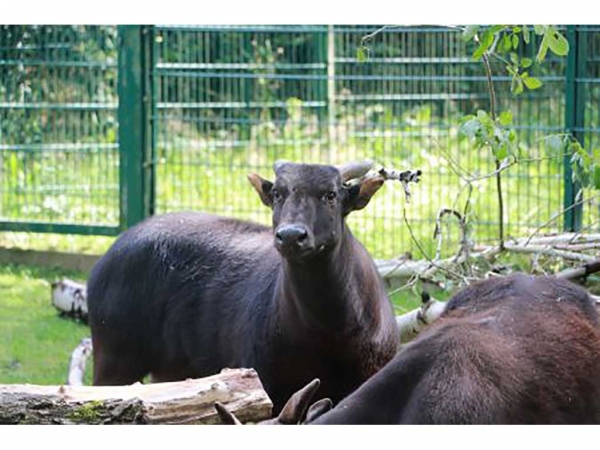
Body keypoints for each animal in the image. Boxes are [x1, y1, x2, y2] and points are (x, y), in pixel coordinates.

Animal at [88, 161, 398, 412]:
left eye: (330, 194)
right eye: (278, 194)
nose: (290, 236)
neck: (328, 331)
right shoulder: (272, 388)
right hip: (113, 365)